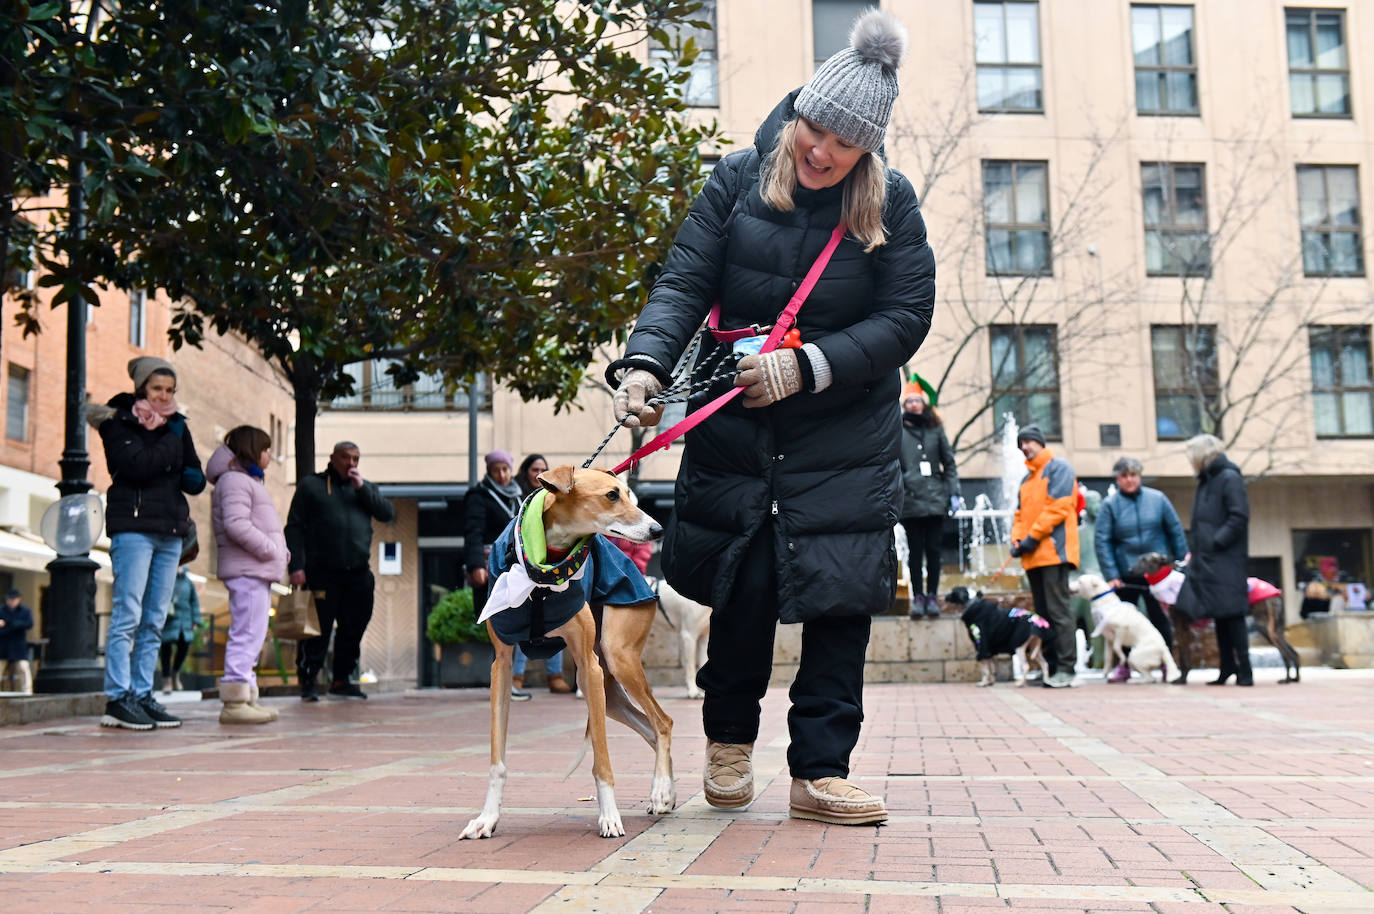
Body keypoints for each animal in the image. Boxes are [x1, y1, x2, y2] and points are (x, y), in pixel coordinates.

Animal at [461, 467, 670, 835]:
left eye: (628, 493)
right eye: (612, 495)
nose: (658, 530)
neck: (544, 565)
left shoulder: (588, 664)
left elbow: (602, 760)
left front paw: (609, 817)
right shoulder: (501, 665)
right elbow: (497, 759)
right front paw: (487, 819)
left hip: (614, 660)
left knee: (663, 723)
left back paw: (660, 791)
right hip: (606, 690)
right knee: (651, 726)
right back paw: (665, 794)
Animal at [1126, 549, 1297, 684]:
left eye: (1144, 560)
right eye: (1138, 559)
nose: (1129, 570)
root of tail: (1276, 592)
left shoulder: (1182, 627)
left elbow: (1184, 657)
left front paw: (1182, 679)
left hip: (1265, 627)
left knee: (1286, 653)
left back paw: (1288, 679)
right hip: (1272, 629)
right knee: (1292, 652)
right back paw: (1294, 678)